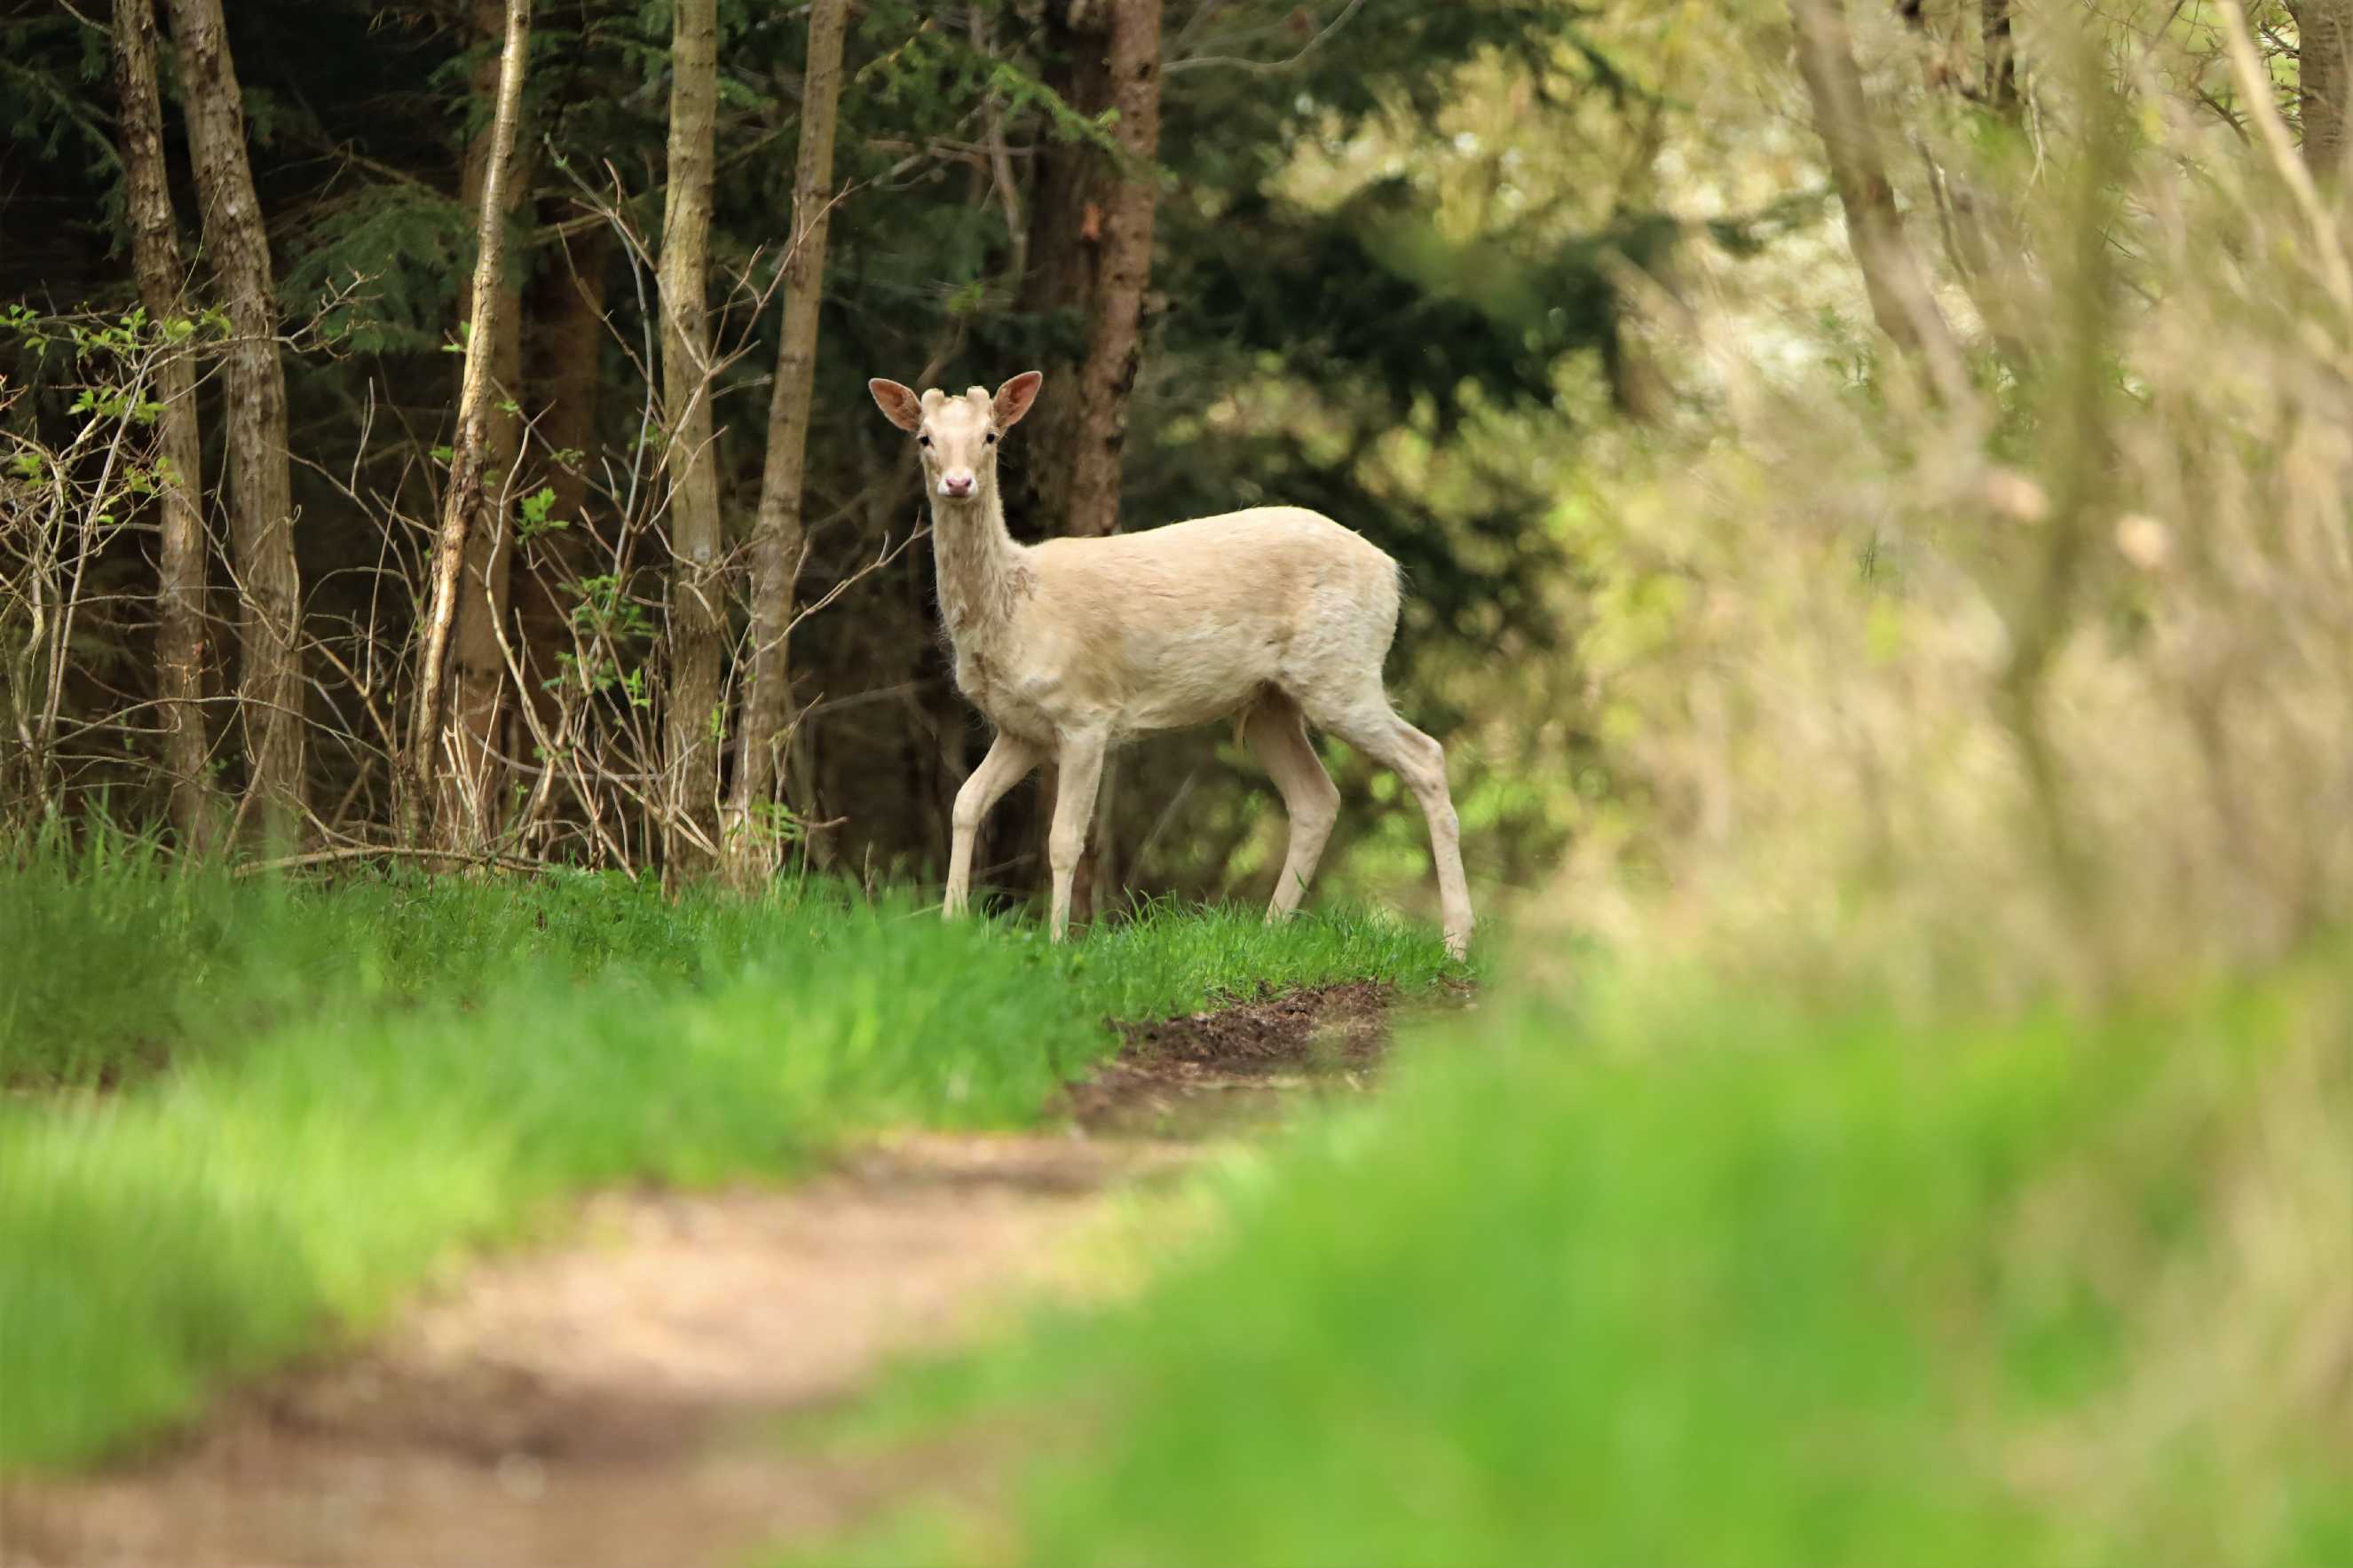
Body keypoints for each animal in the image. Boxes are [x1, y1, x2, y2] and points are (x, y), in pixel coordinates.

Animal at [875, 371, 1477, 958]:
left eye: (991, 436)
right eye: (924, 438)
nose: (958, 484)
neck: (1018, 610)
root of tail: (1392, 571)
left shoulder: (1086, 712)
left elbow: (1064, 839)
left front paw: (1057, 946)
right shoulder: (1021, 727)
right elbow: (965, 803)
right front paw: (950, 928)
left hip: (1343, 669)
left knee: (1426, 756)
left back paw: (1456, 941)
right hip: (1271, 700)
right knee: (1317, 798)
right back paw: (1270, 931)